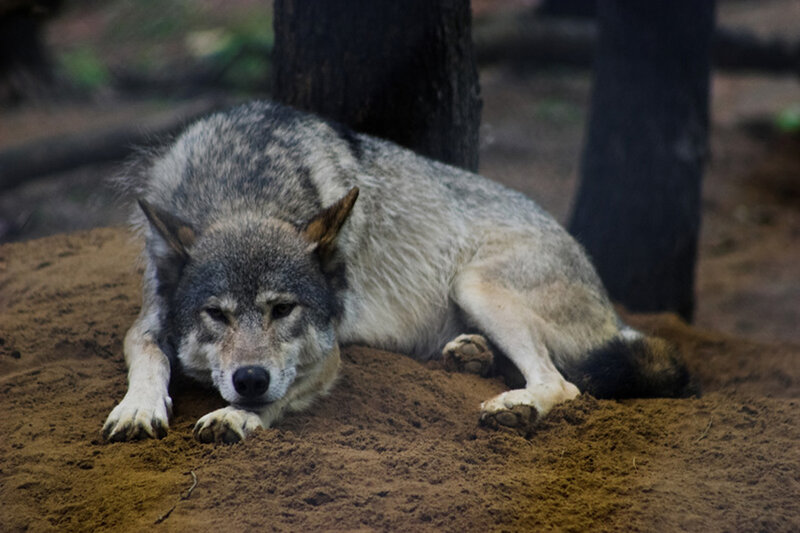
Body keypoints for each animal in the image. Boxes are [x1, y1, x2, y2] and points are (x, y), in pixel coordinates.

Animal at [103, 101, 692, 444]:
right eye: (216, 315)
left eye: (283, 309)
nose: (250, 379)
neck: (243, 189)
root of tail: (610, 304)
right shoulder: (148, 319)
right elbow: (149, 357)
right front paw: (137, 408)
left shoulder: (328, 354)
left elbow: (279, 399)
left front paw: (236, 416)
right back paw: (471, 356)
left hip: (474, 283)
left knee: (563, 384)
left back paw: (516, 407)